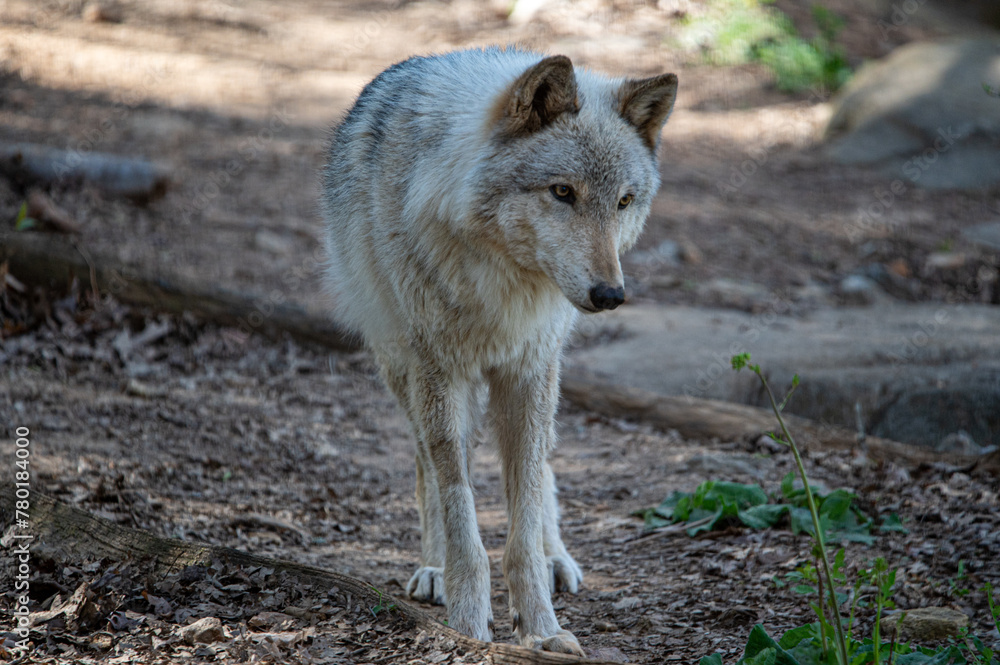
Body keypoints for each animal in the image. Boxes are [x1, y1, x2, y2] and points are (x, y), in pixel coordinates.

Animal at [324, 48, 676, 652]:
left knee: (543, 474)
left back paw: (556, 557)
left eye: (624, 202)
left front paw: (541, 629)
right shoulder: (439, 371)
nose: (611, 295)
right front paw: (468, 622)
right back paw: (434, 570)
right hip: (404, 372)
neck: (502, 279)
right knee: (426, 467)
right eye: (563, 192)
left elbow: (525, 511)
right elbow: (459, 507)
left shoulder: (529, 370)